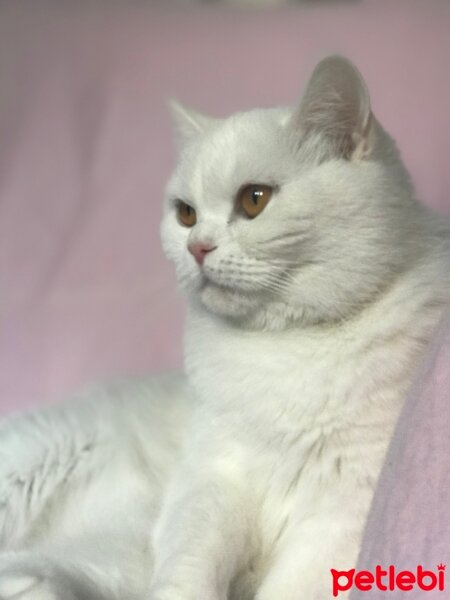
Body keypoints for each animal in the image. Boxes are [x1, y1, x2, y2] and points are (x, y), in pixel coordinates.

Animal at [0, 56, 450, 600]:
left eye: (255, 199)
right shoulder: (213, 480)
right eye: (185, 213)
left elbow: (290, 589)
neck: (283, 347)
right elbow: (188, 568)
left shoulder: (341, 516)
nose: (197, 246)